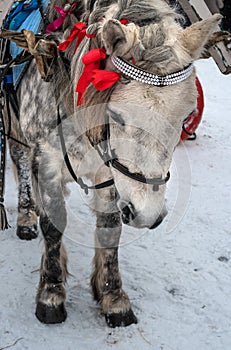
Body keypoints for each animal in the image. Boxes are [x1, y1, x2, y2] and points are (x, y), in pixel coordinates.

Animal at [1, 0, 222, 328]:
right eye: (117, 115)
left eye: (186, 117)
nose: (148, 214)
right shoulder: (47, 158)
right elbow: (53, 224)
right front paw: (51, 294)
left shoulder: (112, 172)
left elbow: (110, 229)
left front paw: (112, 297)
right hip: (13, 124)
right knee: (22, 163)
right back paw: (27, 216)